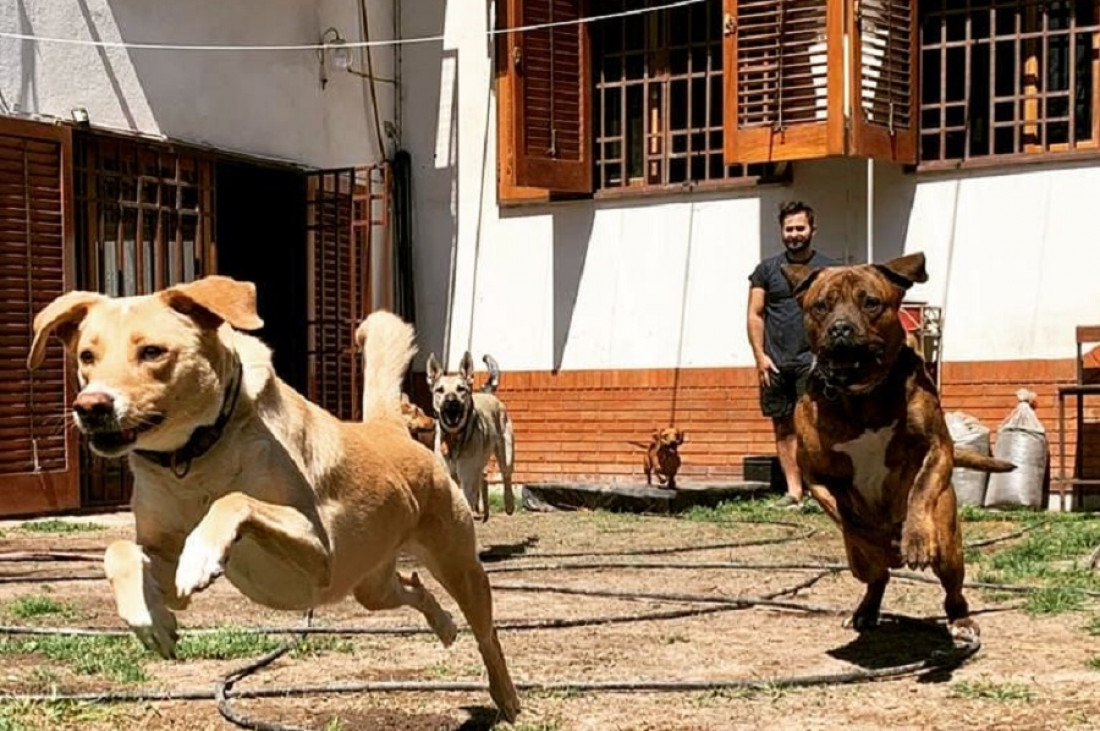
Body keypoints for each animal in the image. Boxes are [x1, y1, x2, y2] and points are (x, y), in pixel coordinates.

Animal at [426, 351, 517, 521]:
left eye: (461, 389)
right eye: (440, 390)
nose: (451, 402)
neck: (454, 438)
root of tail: (487, 394)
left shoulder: (467, 478)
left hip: (506, 455)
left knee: (506, 476)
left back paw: (508, 505)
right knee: (483, 478)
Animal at [783, 253, 1012, 641]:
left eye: (871, 303)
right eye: (821, 306)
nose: (840, 328)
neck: (863, 396)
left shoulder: (937, 448)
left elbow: (919, 489)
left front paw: (915, 538)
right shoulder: (816, 476)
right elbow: (848, 516)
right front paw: (872, 539)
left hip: (949, 545)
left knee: (952, 588)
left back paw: (960, 619)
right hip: (859, 561)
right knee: (877, 576)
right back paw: (866, 606)